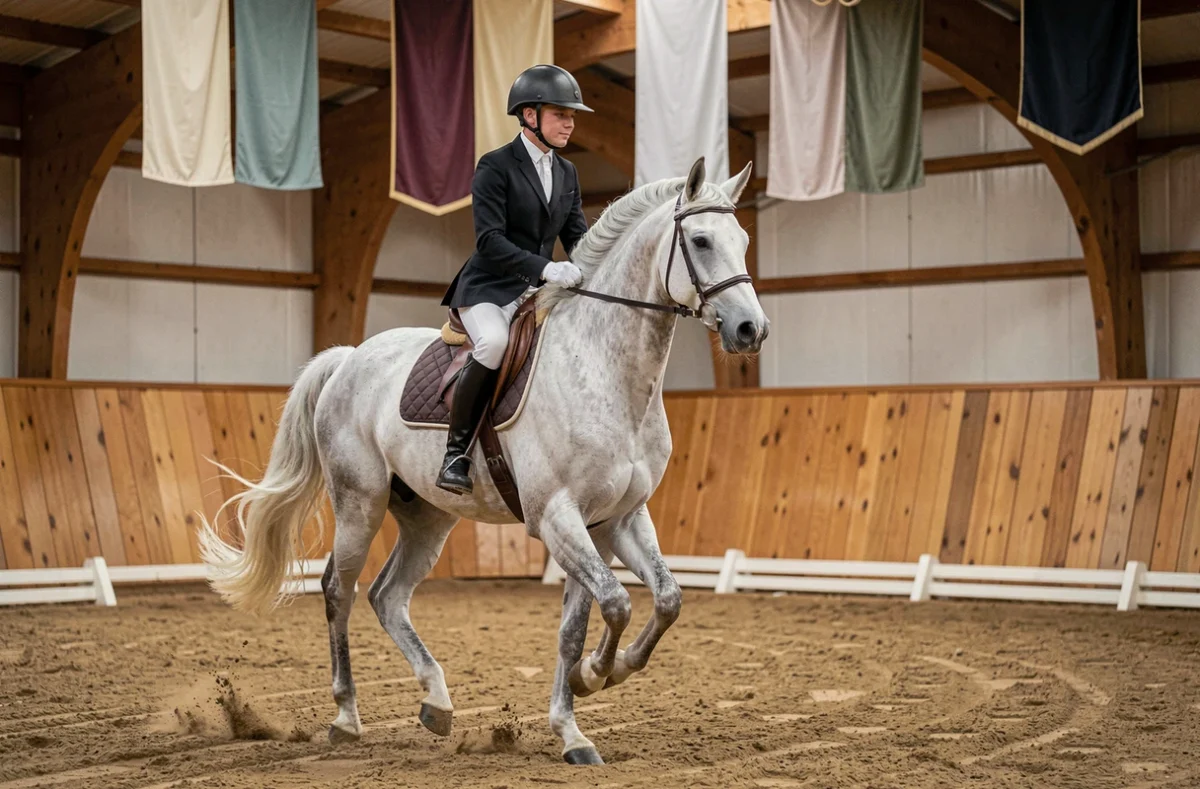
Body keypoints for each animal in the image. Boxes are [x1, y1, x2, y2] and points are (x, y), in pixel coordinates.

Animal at [198, 155, 770, 765]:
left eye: (743, 240)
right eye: (702, 240)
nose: (750, 330)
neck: (606, 372)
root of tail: (351, 358)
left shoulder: (615, 519)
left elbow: (653, 602)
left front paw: (581, 715)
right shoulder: (557, 517)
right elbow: (615, 603)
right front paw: (595, 674)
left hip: (427, 517)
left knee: (387, 596)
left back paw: (437, 703)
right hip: (359, 504)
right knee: (338, 591)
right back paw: (347, 719)